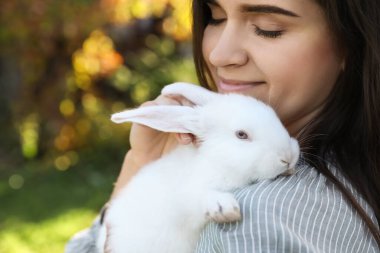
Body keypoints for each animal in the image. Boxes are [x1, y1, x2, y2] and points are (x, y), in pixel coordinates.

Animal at [98, 82, 300, 252]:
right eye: (241, 134)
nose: (288, 157)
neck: (218, 162)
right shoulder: (184, 202)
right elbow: (195, 198)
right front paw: (224, 208)